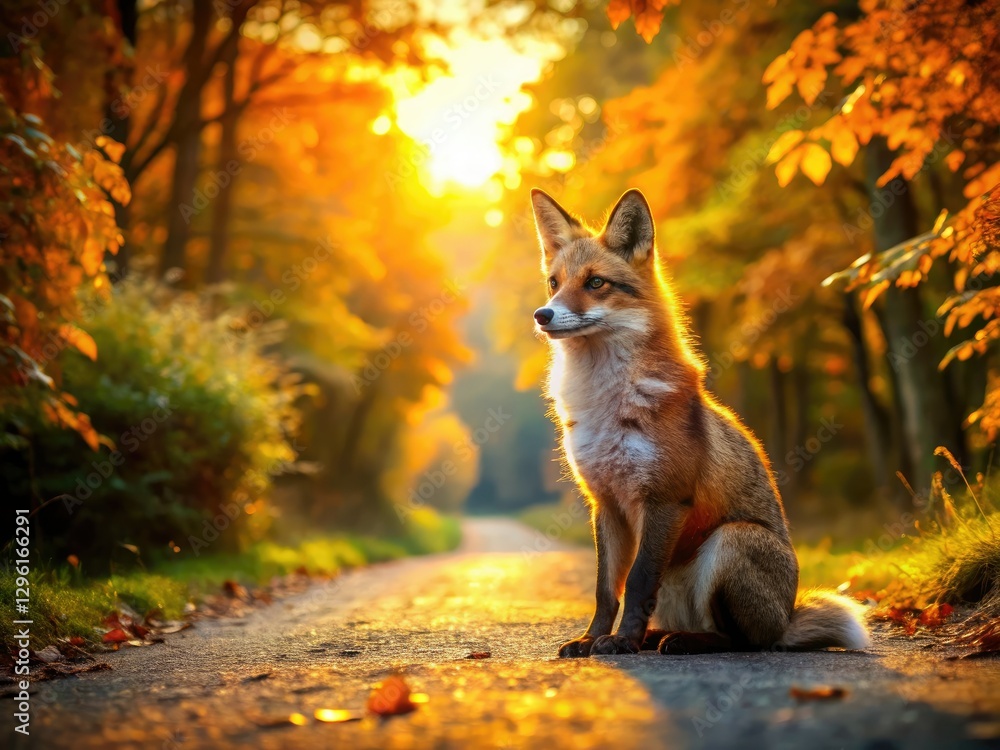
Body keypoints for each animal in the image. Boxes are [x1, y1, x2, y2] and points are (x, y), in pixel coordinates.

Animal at [529, 187, 870, 657]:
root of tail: (785, 620)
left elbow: (637, 583)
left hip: (731, 541)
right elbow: (606, 590)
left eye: (596, 283)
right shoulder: (606, 502)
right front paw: (592, 639)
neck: (605, 401)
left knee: (742, 641)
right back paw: (654, 637)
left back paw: (680, 641)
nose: (543, 315)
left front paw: (621, 642)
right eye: (554, 283)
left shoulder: (665, 497)